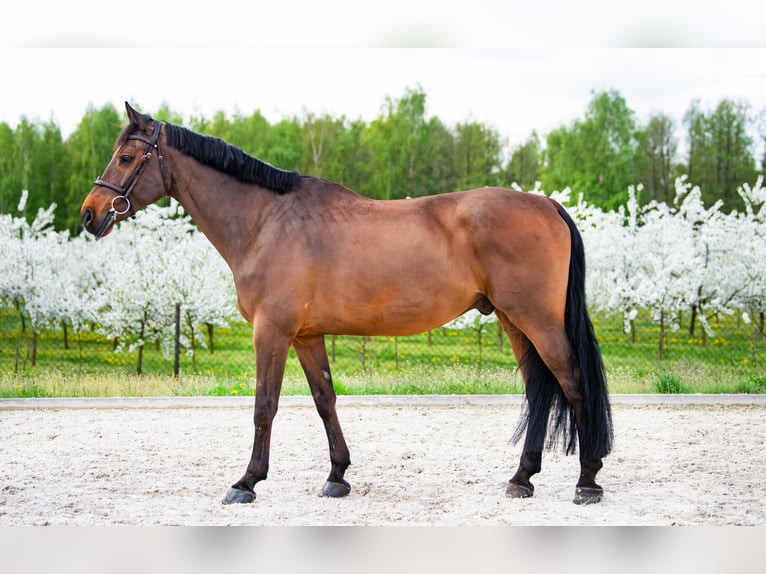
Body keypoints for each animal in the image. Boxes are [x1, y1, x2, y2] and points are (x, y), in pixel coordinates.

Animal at [81, 103, 616, 508]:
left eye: (127, 157)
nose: (90, 214)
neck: (266, 222)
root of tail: (547, 205)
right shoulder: (306, 335)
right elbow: (325, 400)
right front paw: (337, 475)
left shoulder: (271, 331)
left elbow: (264, 406)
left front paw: (247, 481)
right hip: (513, 321)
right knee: (539, 391)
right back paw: (522, 478)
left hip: (538, 321)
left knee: (572, 385)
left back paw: (587, 481)